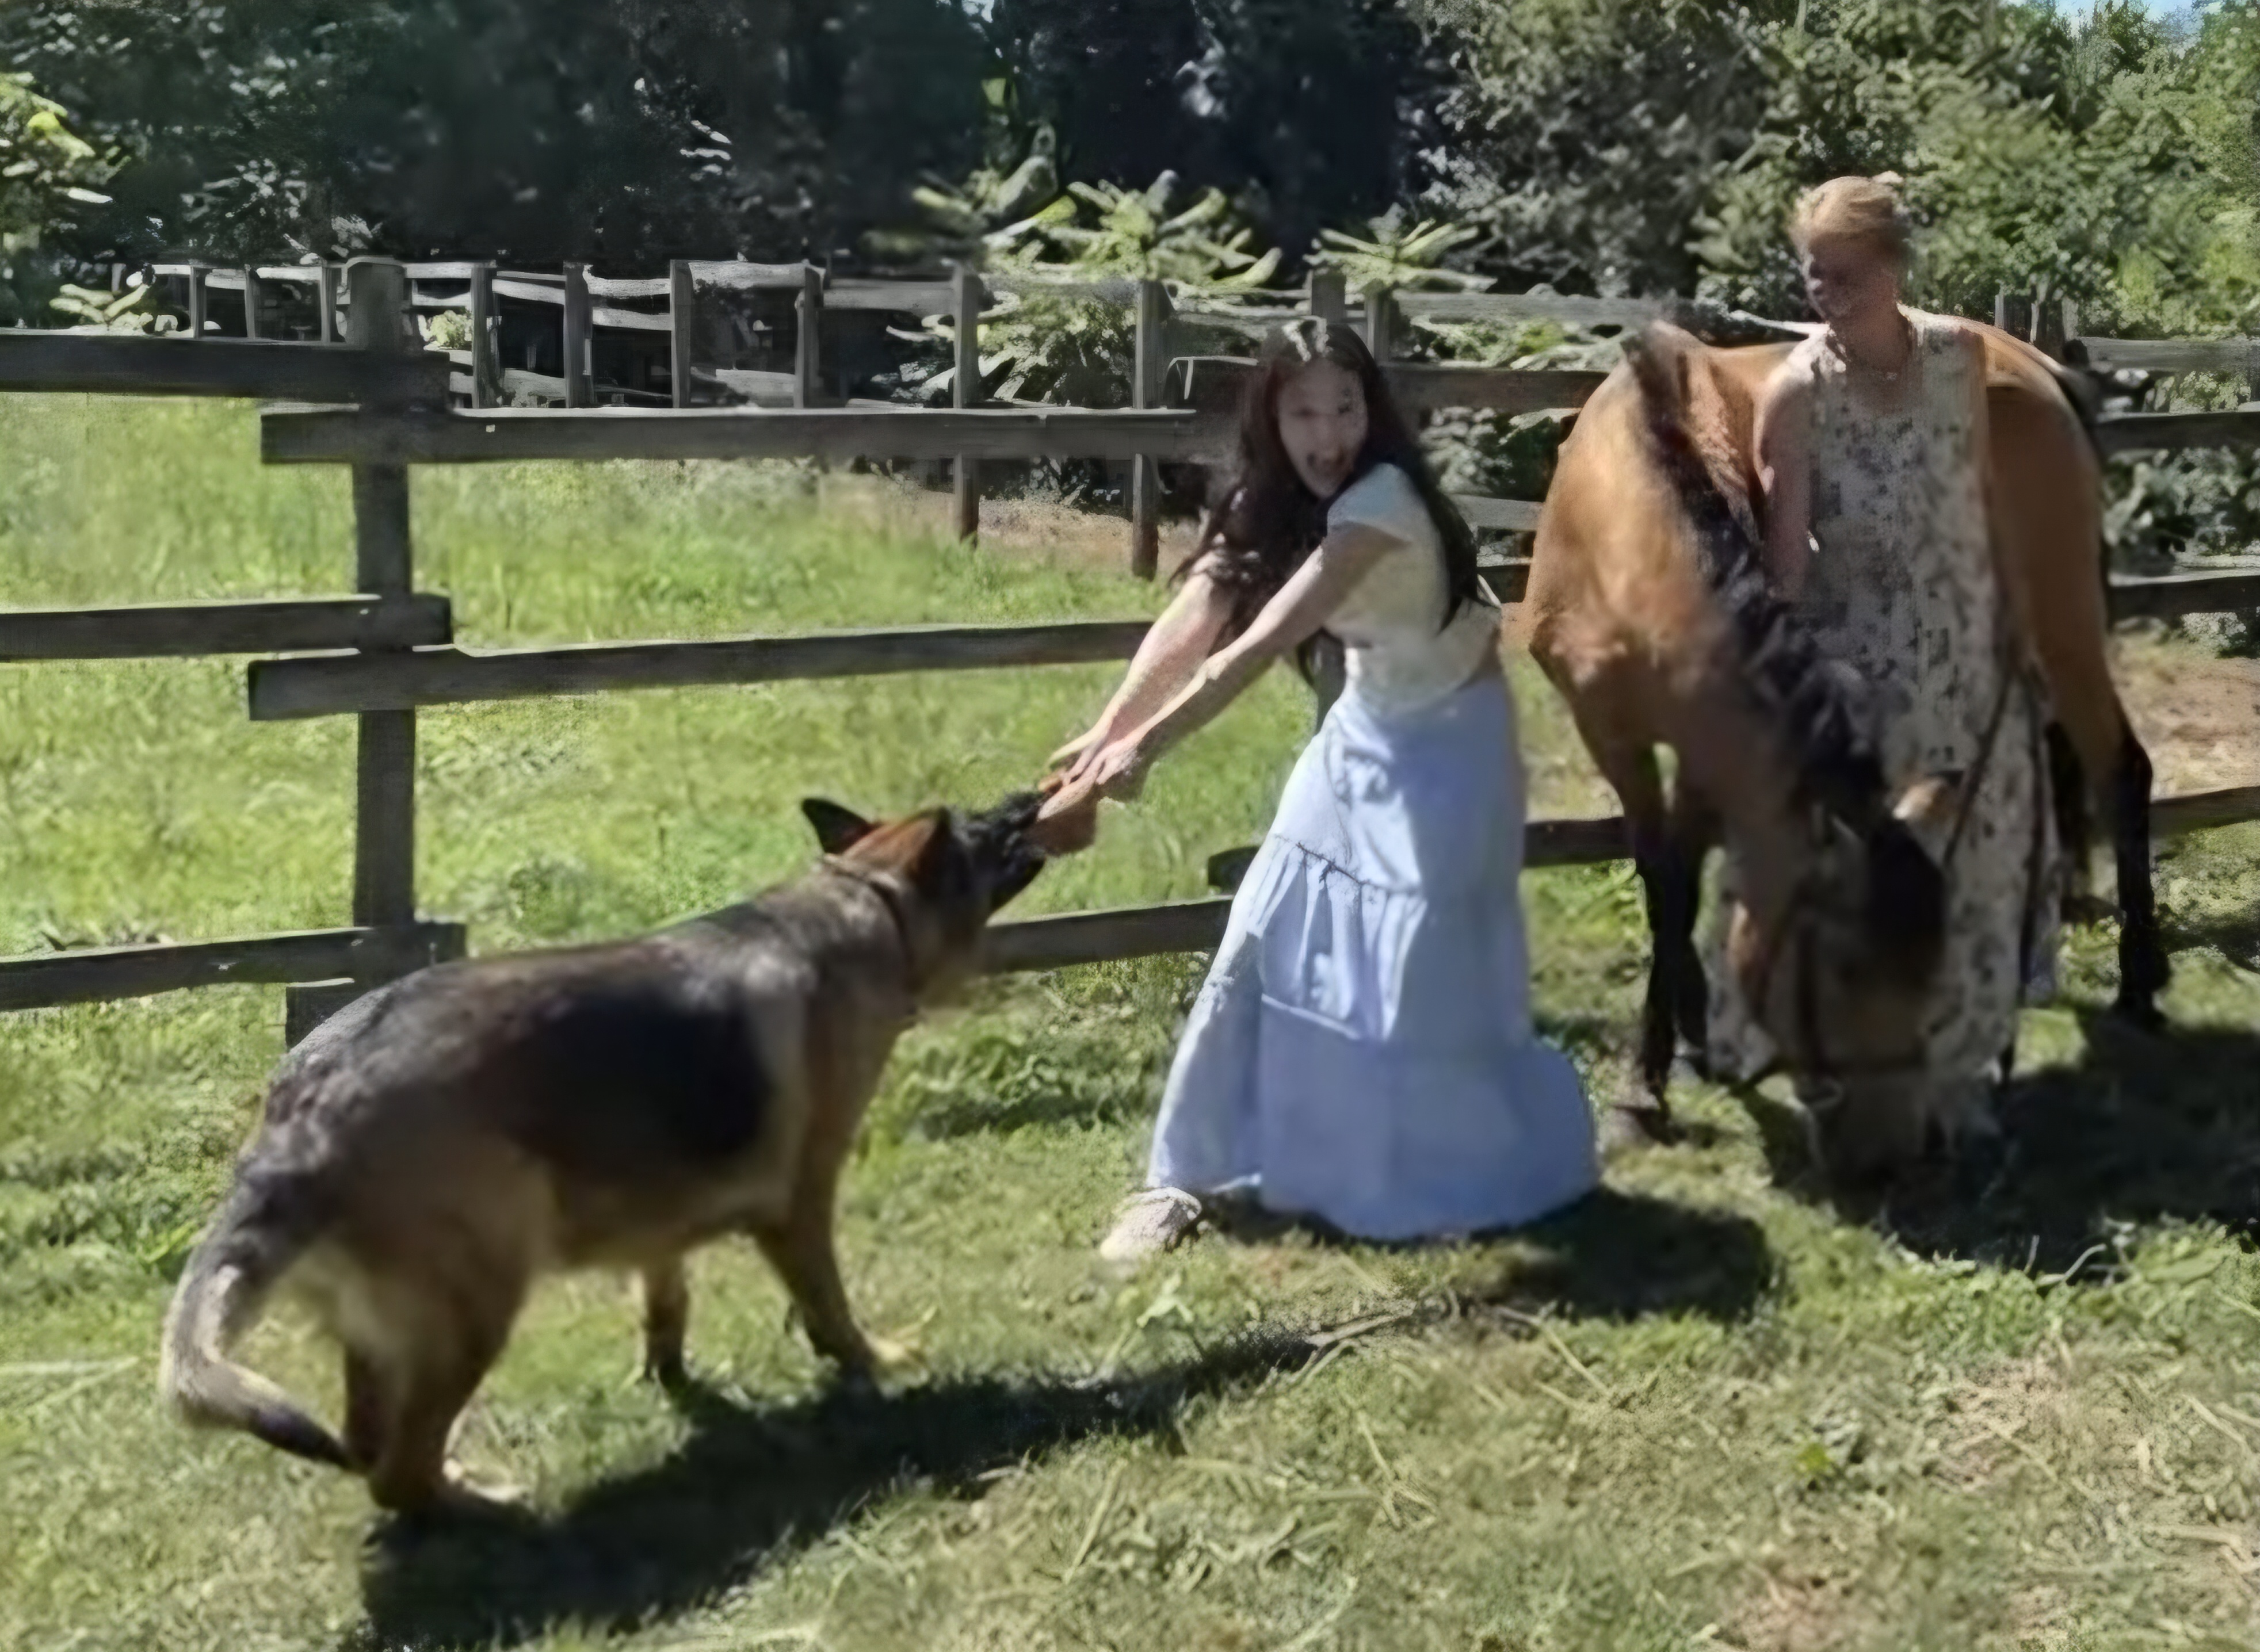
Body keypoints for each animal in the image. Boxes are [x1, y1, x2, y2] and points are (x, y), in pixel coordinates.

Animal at [159, 795, 1048, 1519]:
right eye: (982, 827)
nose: (1030, 798)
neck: (866, 897)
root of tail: (301, 1113)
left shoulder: (661, 1216)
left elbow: (666, 1297)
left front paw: (671, 1376)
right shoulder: (802, 1202)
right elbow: (830, 1306)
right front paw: (874, 1362)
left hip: (384, 1333)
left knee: (368, 1446)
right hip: (475, 1305)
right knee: (396, 1474)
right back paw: (489, 1504)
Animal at [1528, 320, 2160, 1175]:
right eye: (1837, 972)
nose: (1889, 1154)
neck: (1625, 517)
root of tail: (2039, 365)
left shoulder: (1701, 745)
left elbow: (1682, 888)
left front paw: (1667, 1063)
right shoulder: (1626, 738)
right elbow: (1670, 893)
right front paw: (1661, 1075)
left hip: (2064, 624)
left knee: (2120, 771)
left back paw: (2139, 987)